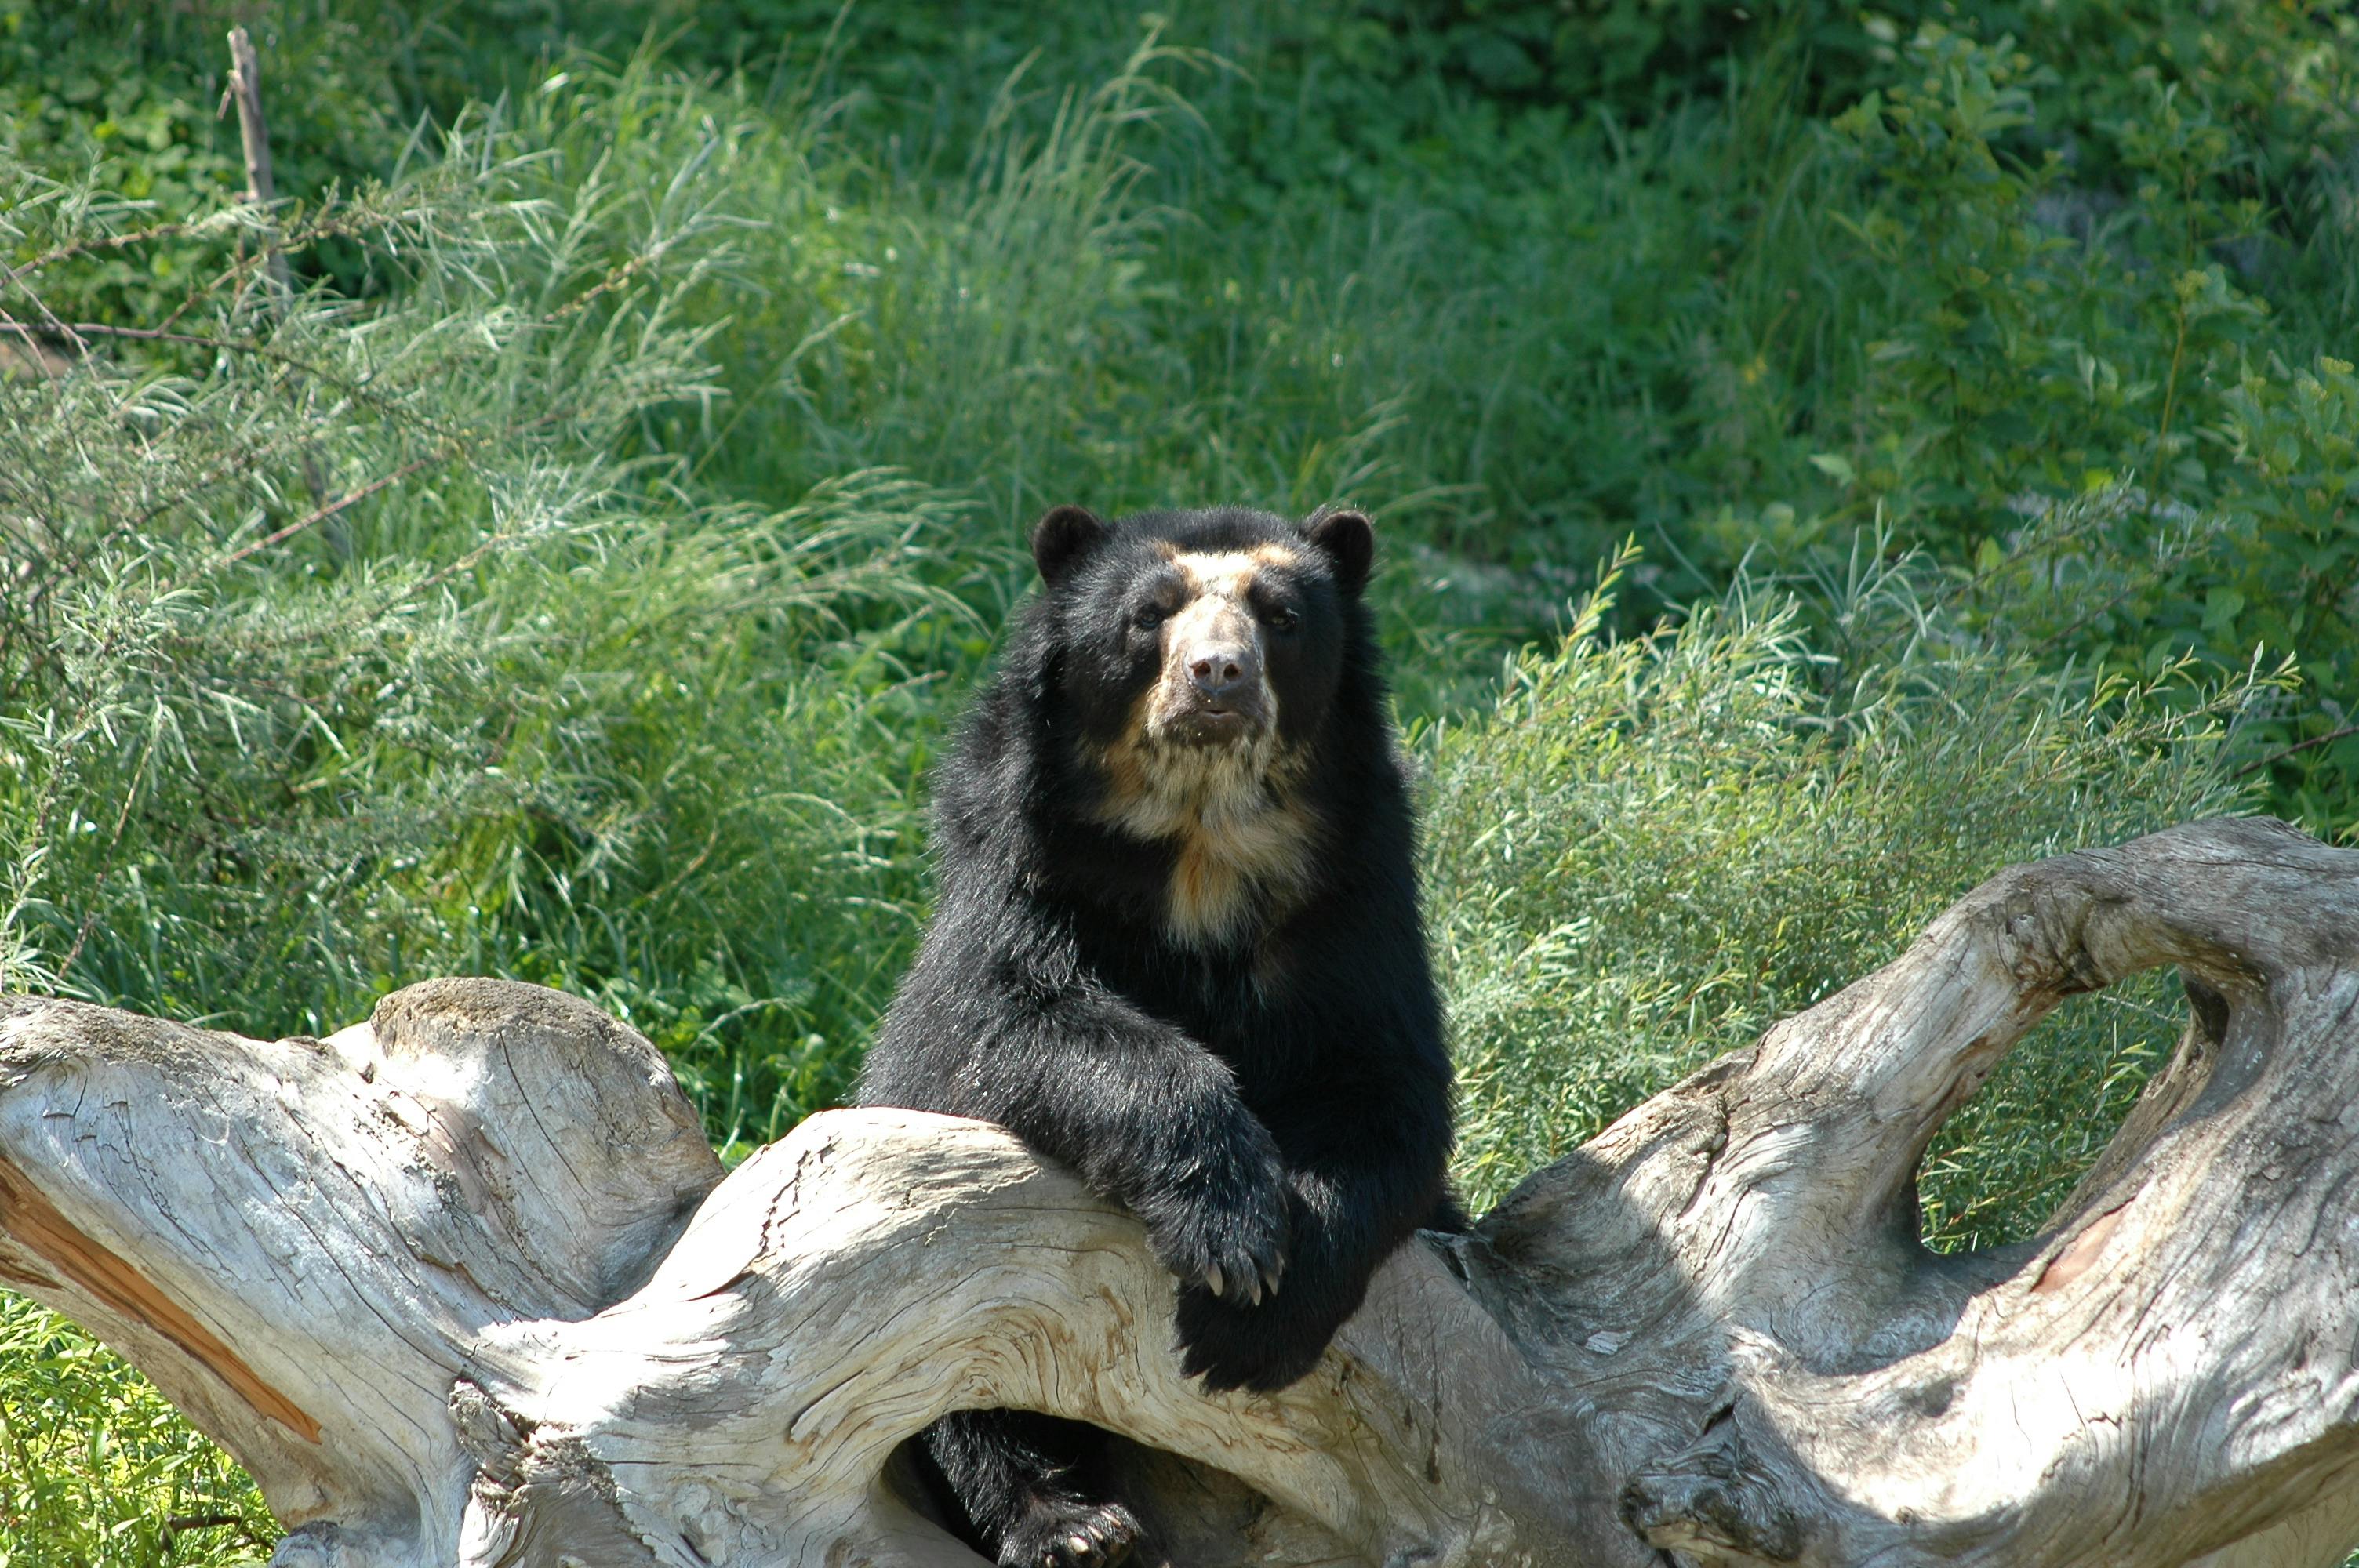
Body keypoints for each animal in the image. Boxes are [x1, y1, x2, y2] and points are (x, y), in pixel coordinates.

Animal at [855, 502, 1457, 1568]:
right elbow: (1020, 1025)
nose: (1218, 674)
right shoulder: (1018, 875)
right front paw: (1228, 1234)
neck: (1198, 844)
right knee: (960, 1385)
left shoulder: (1357, 911)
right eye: (1149, 613)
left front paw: (1255, 1313)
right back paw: (1072, 1524)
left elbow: (1388, 1093)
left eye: (1281, 616)